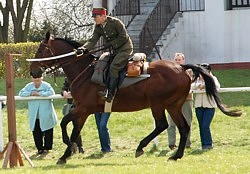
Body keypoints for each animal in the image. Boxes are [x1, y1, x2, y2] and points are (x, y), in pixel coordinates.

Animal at [29, 32, 242, 164]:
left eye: (40, 50)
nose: (33, 72)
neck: (84, 71)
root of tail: (181, 67)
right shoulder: (82, 110)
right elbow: (72, 128)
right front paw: (67, 152)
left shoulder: (83, 108)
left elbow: (65, 124)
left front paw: (67, 149)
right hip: (173, 105)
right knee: (183, 127)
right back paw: (176, 155)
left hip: (158, 103)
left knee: (162, 125)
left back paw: (141, 147)